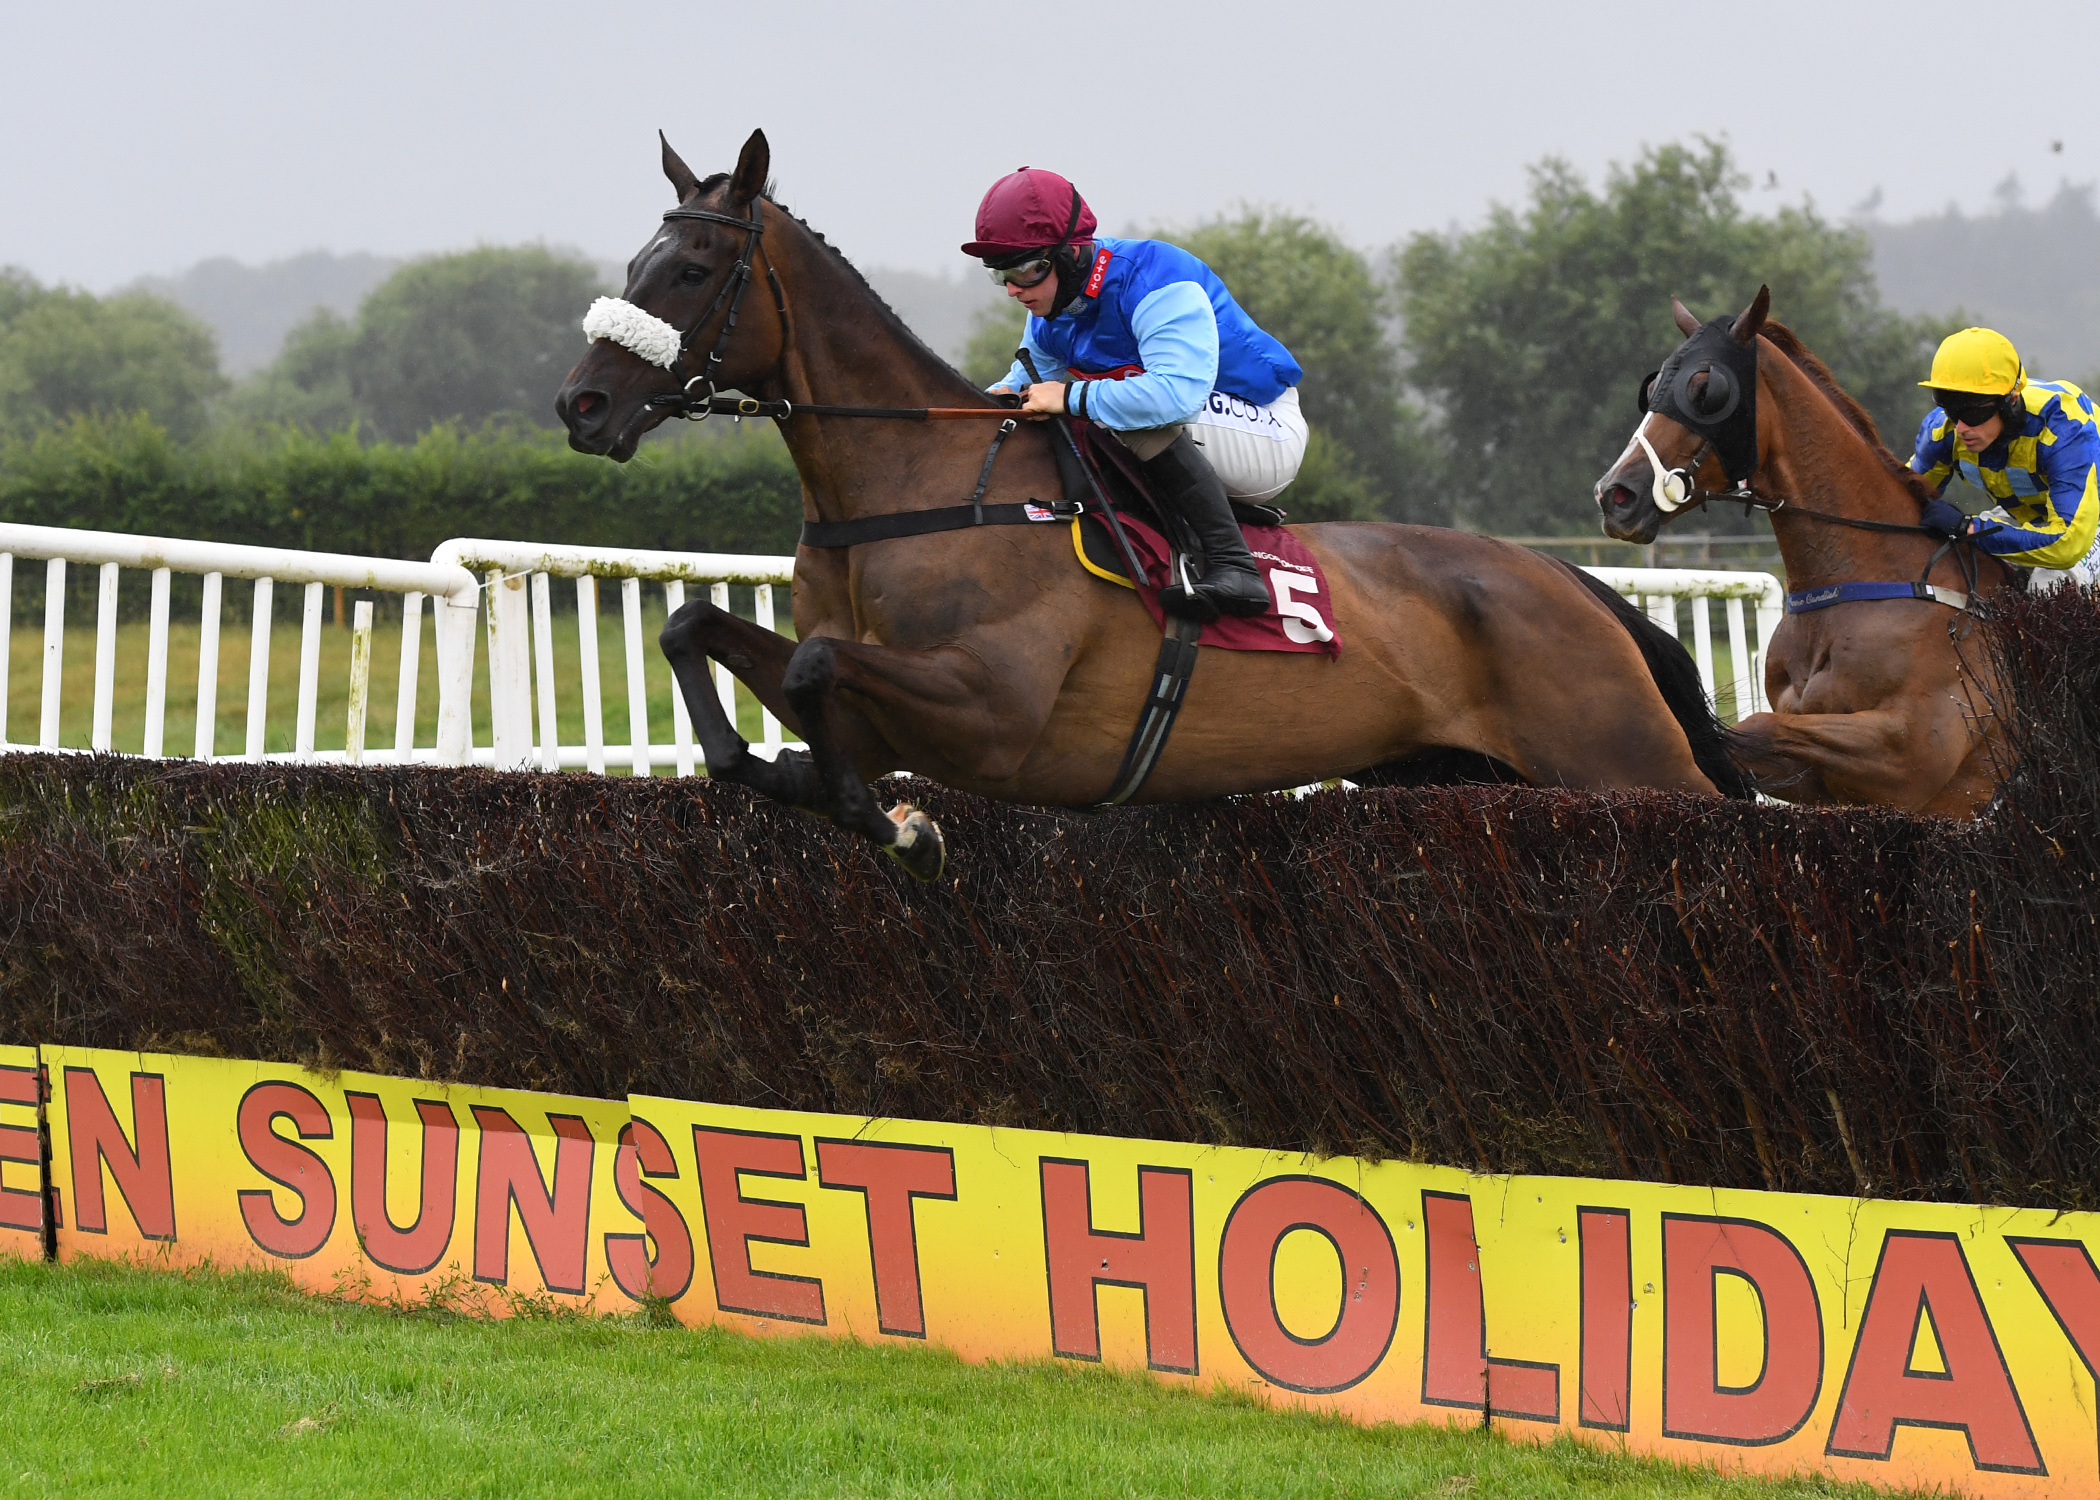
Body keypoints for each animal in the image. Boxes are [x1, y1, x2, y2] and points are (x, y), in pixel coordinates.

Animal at [556, 129, 1749, 879]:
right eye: (638, 256)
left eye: (692, 267)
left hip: (1626, 764)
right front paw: (785, 770)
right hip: (1455, 777)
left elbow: (811, 671)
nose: (582, 404)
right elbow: (694, 626)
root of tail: (1566, 579)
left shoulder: (994, 711)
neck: (918, 489)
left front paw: (889, 821)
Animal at [1593, 287, 2015, 818]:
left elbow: (1751, 729)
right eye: (1652, 390)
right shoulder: (1820, 779)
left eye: (1706, 391)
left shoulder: (1911, 753)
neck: (1865, 582)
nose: (1616, 495)